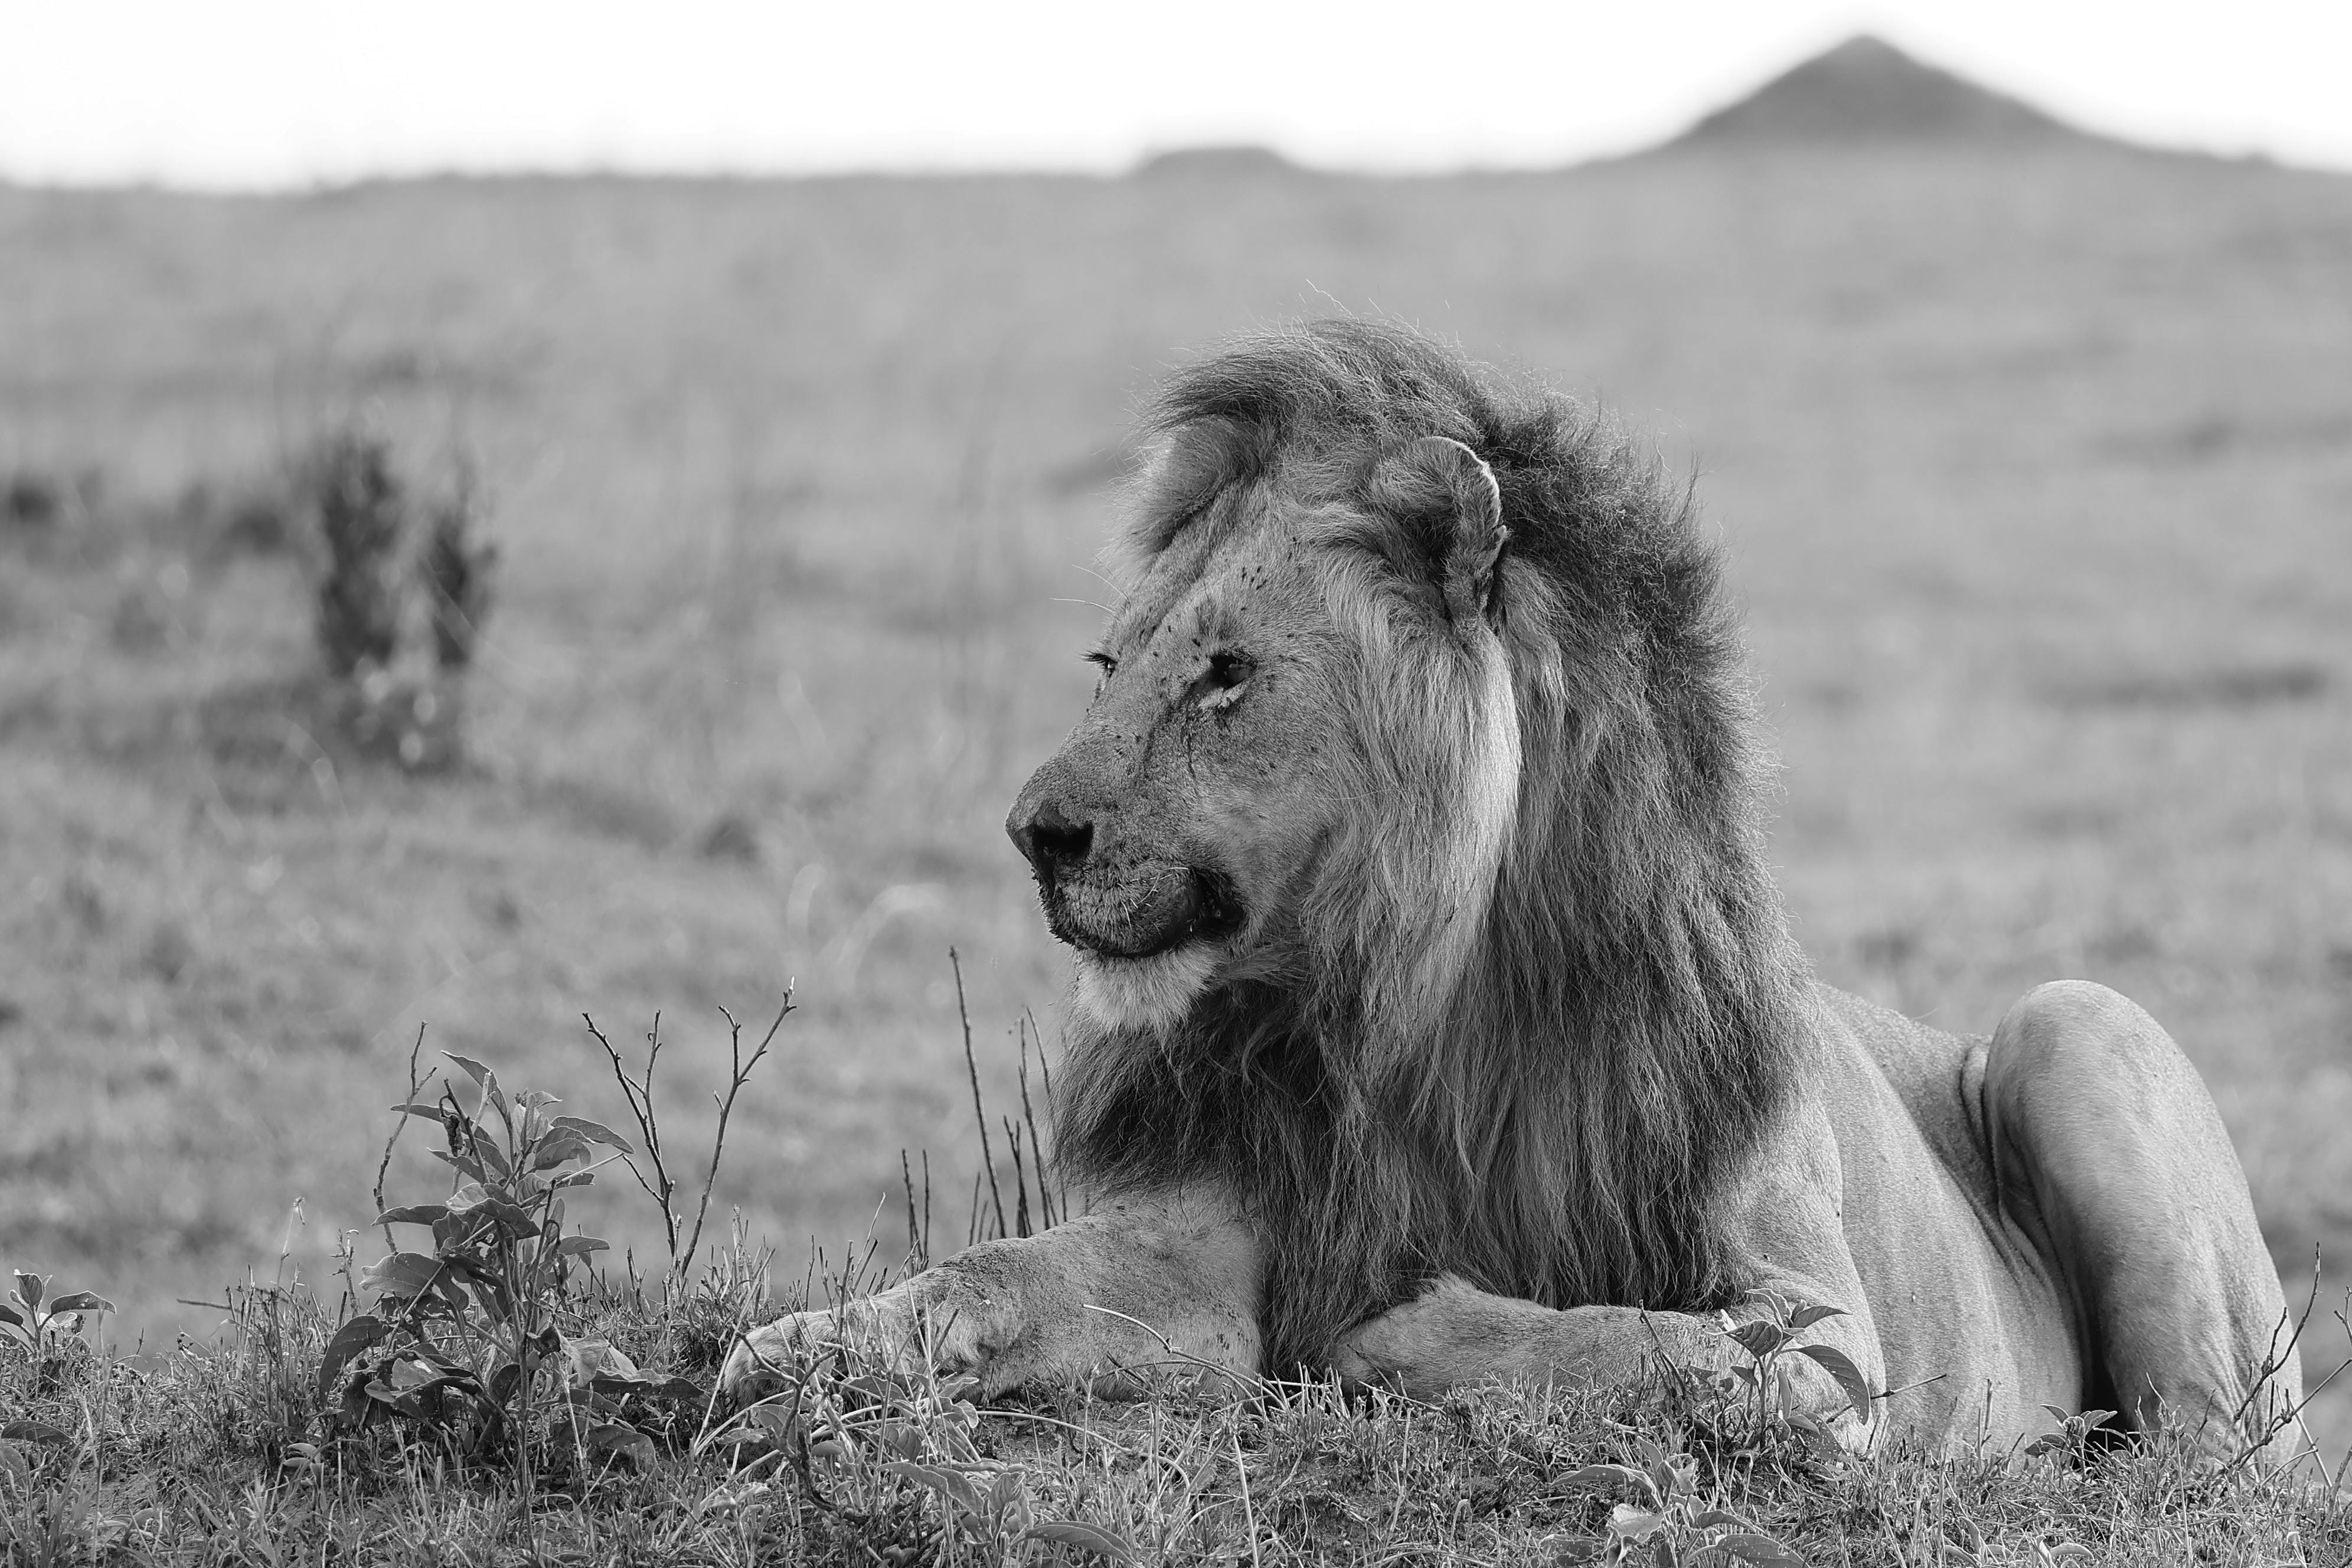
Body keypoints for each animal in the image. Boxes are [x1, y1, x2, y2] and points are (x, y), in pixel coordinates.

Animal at [724, 315, 2305, 1457]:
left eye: (1227, 672)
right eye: (1112, 664)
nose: (1032, 831)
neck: (1417, 1010)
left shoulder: (1831, 1345)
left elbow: (1652, 1346)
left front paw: (1386, 1337)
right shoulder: (1218, 1220)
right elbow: (993, 1272)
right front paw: (795, 1350)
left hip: (2075, 1021)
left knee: (2200, 1459)